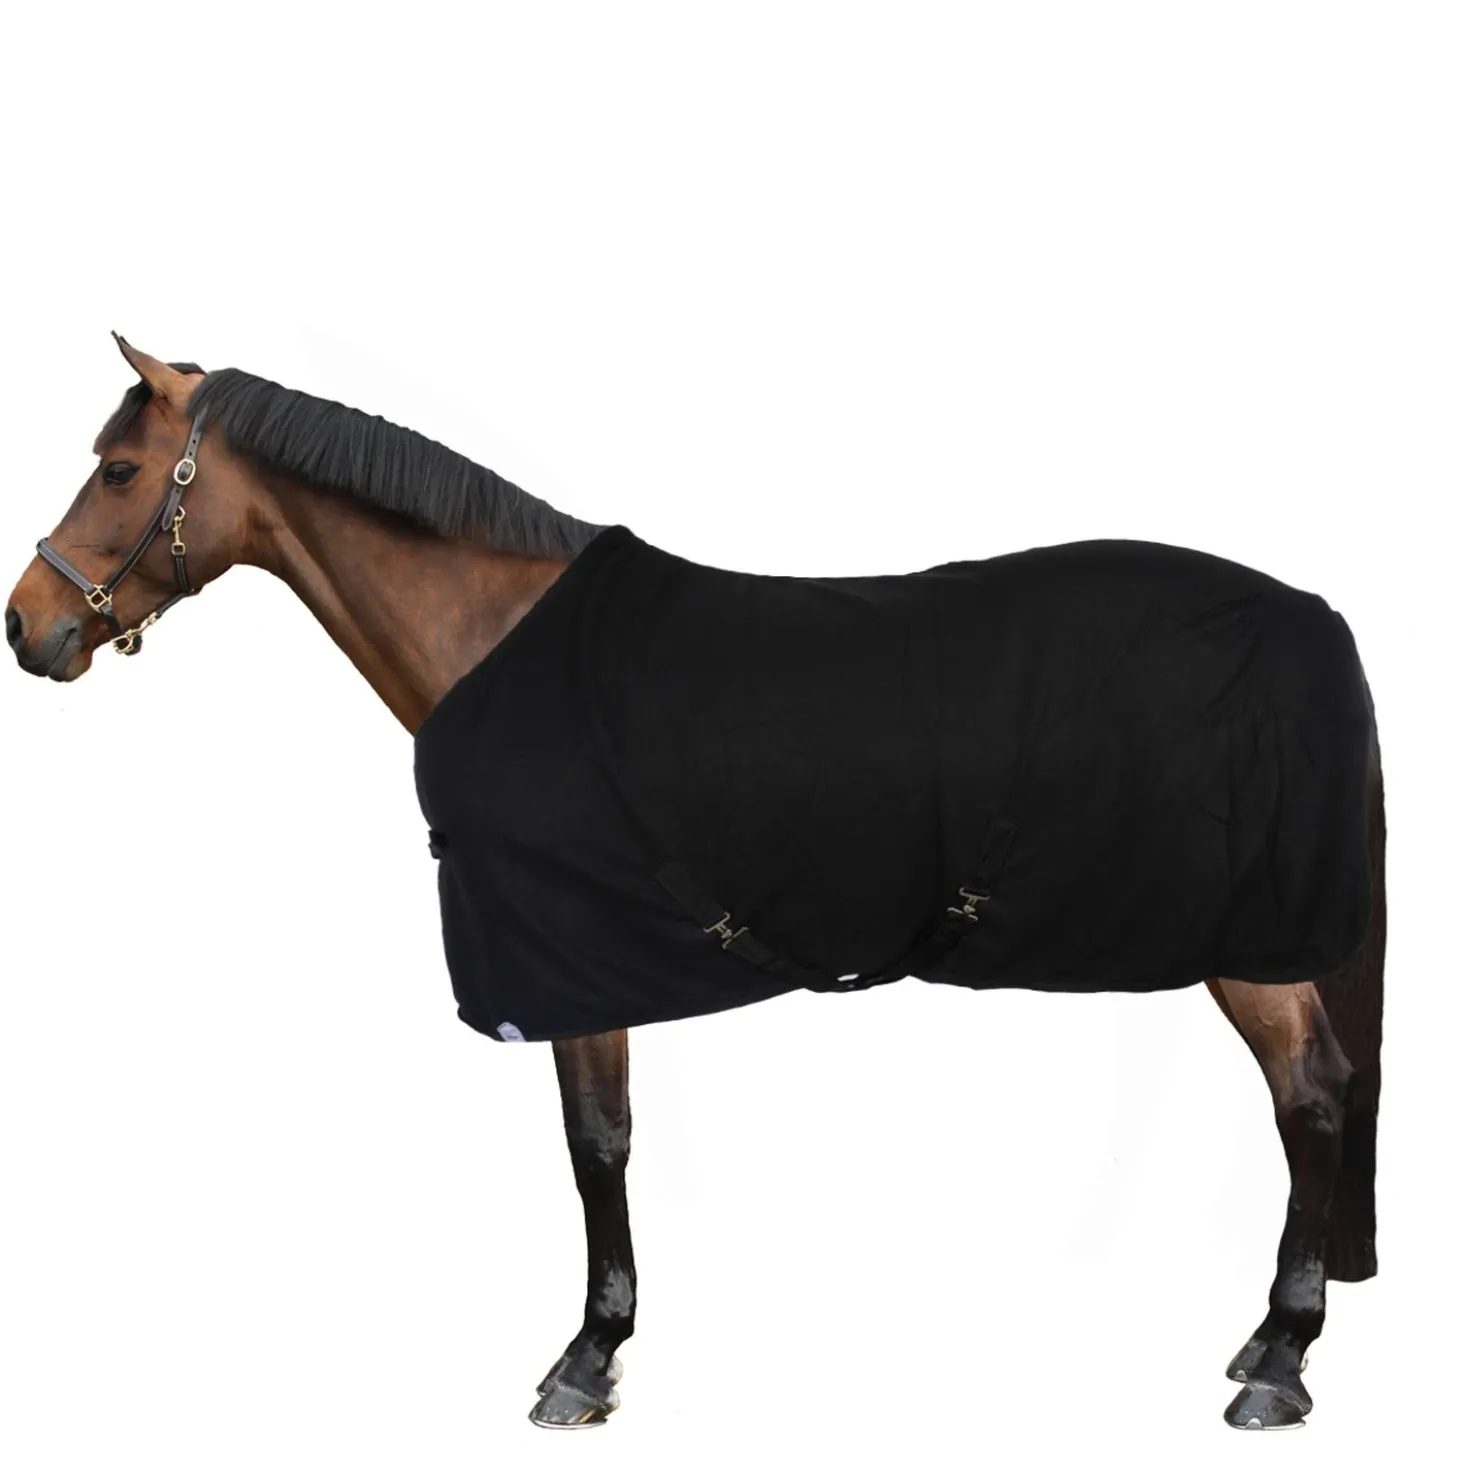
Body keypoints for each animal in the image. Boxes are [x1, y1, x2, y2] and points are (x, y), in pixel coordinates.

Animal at [6, 335, 1385, 1433]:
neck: (501, 645)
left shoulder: (566, 955)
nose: (27, 626)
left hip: (1250, 940)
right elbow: (601, 1138)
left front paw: (586, 1357)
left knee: (1312, 1093)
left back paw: (1280, 1361)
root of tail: (1309, 618)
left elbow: (595, 1144)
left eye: (119, 470)